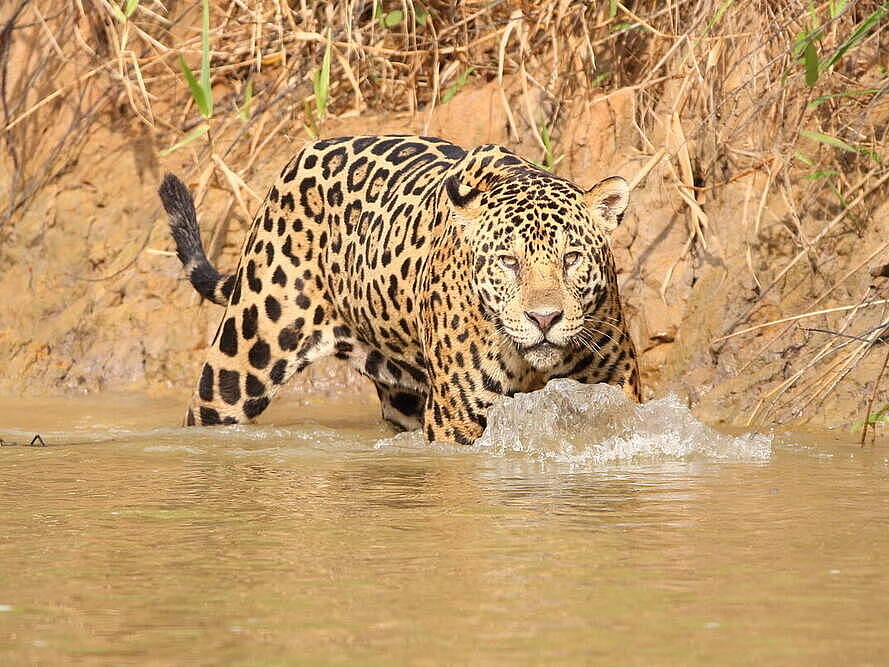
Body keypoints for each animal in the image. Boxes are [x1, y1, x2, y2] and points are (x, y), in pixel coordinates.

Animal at [158, 135, 640, 445]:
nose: (544, 318)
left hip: (402, 393)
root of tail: (298, 158)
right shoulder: (456, 426)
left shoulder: (618, 401)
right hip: (239, 367)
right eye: (508, 261)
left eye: (572, 258)